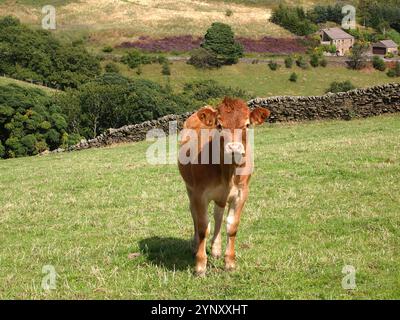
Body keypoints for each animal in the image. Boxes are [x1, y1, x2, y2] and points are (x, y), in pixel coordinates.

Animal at [177, 97, 268, 276]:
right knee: (193, 213)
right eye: (219, 125)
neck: (227, 173)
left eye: (247, 124)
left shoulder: (242, 193)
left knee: (218, 215)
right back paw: (195, 246)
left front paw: (230, 262)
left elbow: (232, 226)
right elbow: (203, 227)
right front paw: (200, 265)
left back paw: (216, 249)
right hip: (189, 188)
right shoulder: (199, 194)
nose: (234, 148)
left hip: (221, 195)